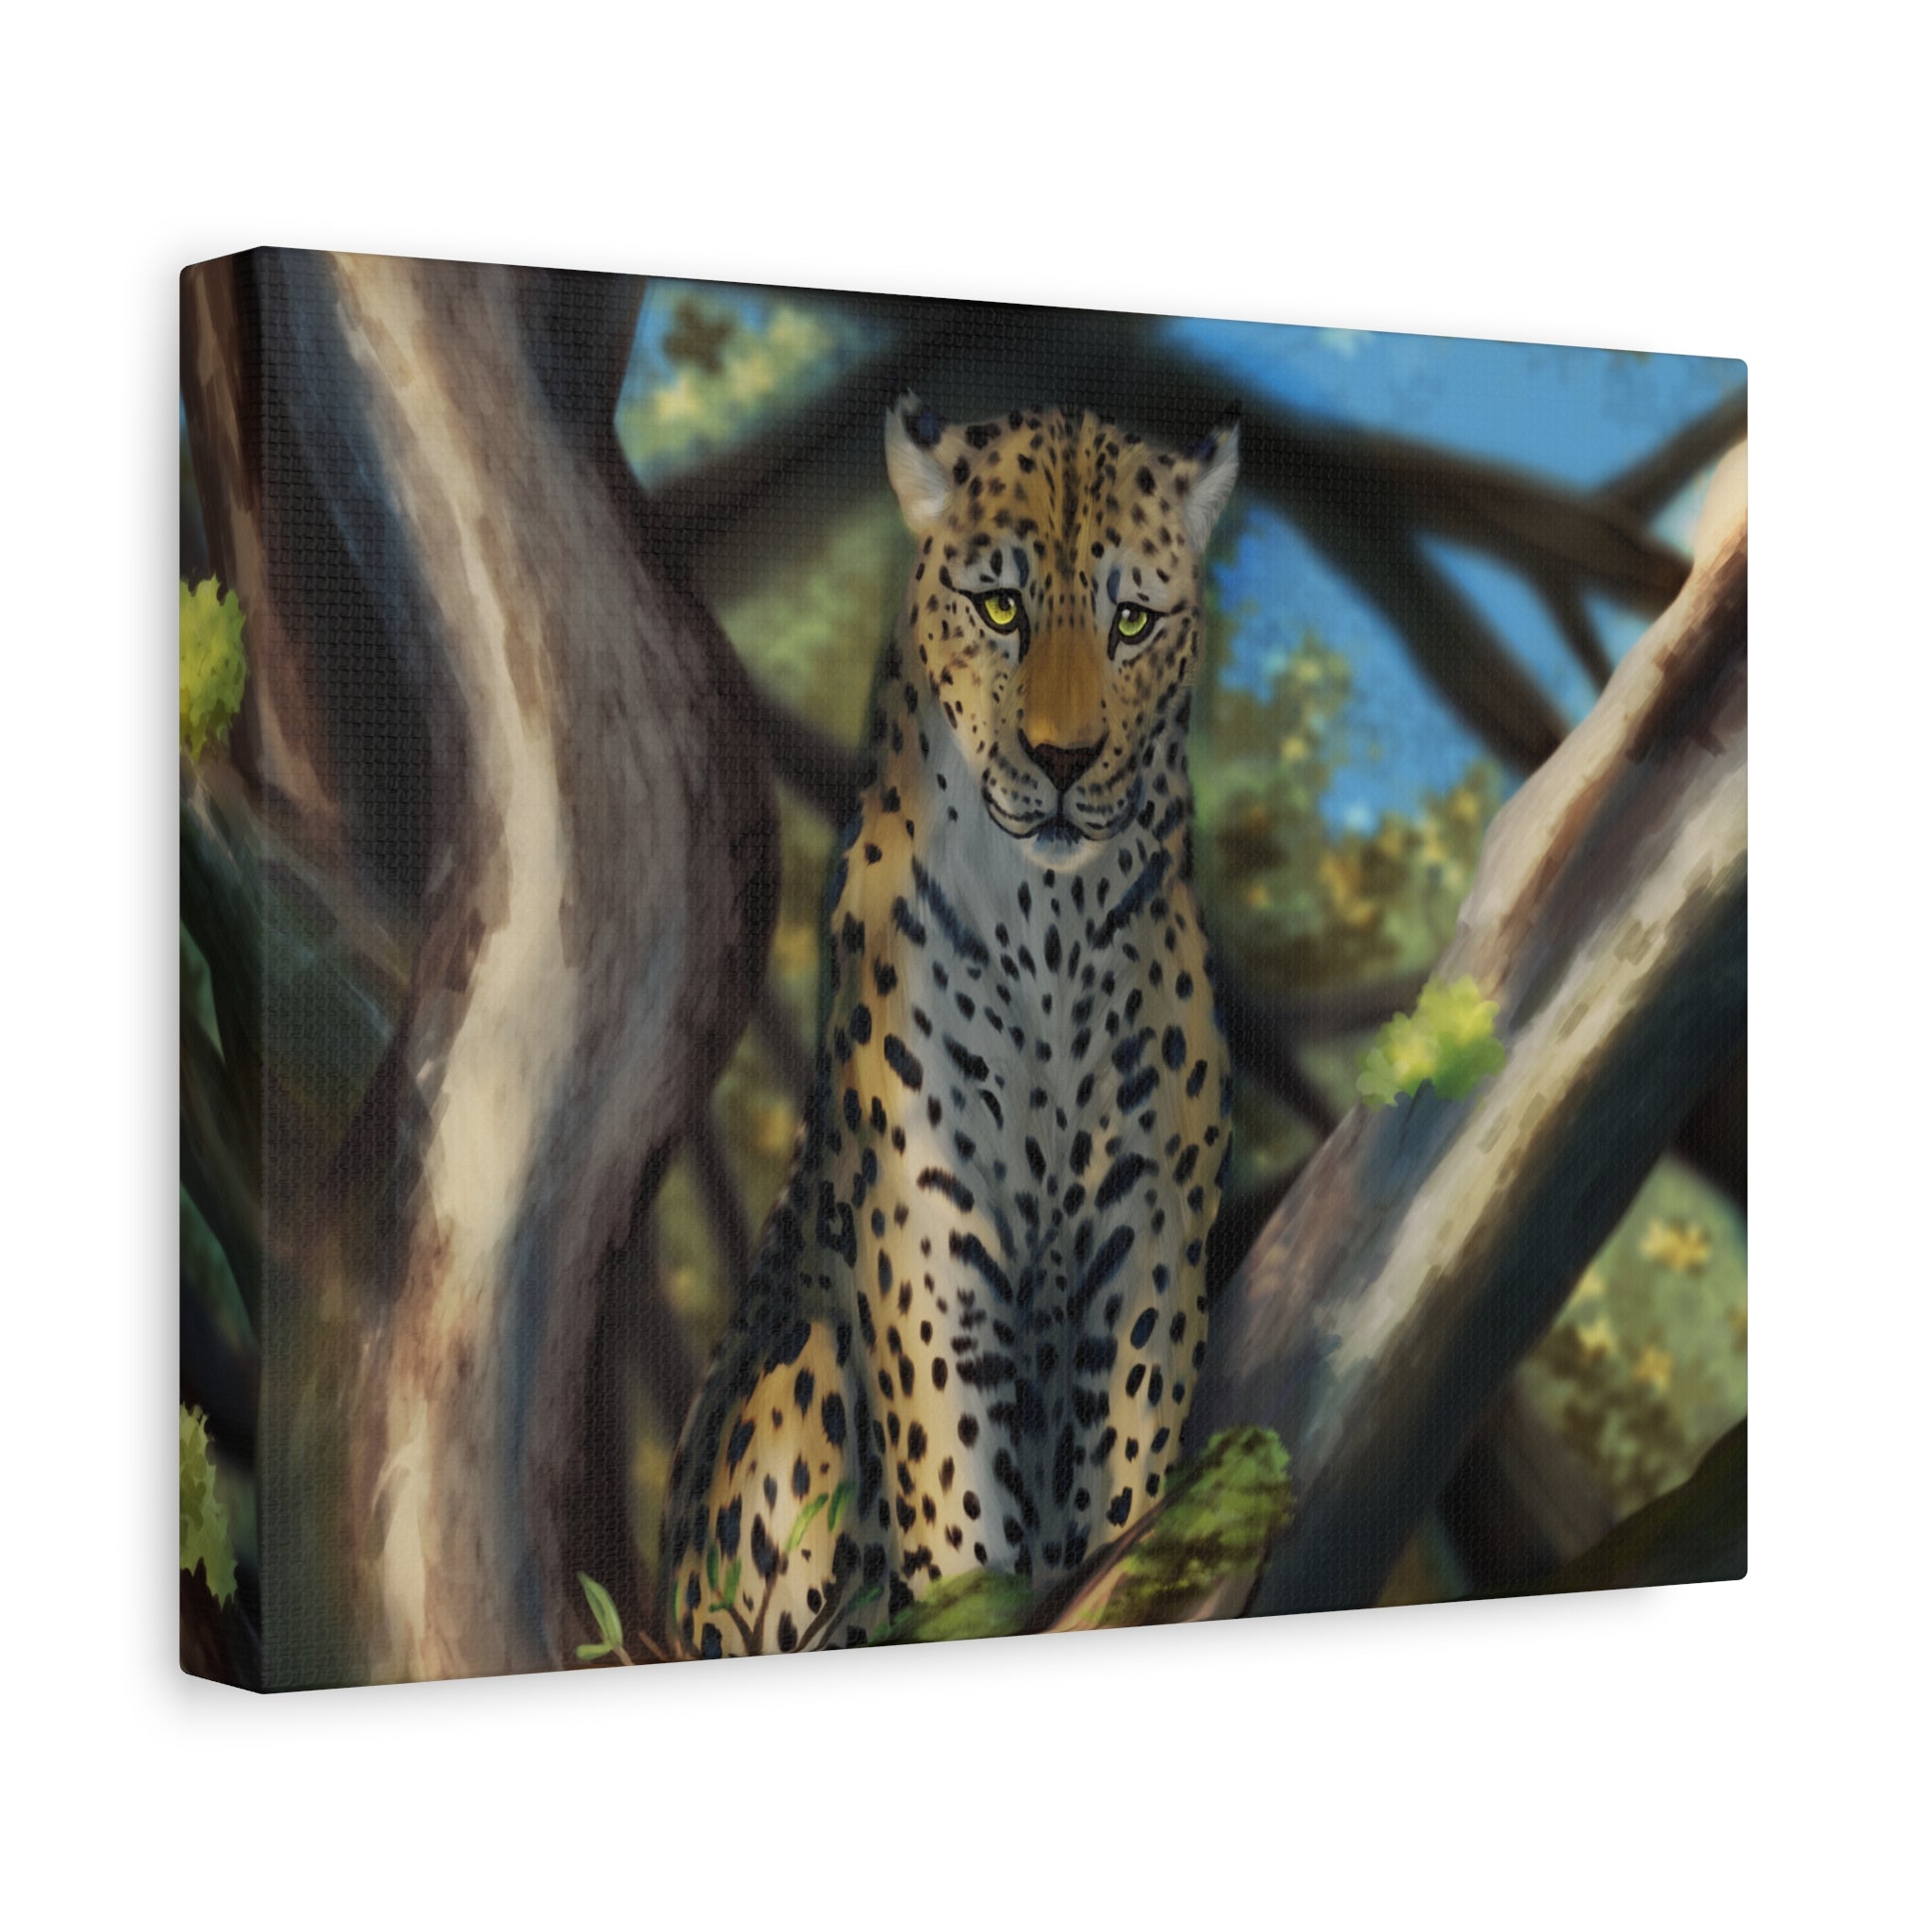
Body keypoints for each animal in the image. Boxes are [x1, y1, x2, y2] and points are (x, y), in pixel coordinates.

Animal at [663, 393, 1240, 1657]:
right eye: (1000, 607)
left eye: (1131, 620)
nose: (1065, 760)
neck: (1049, 926)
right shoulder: (928, 1220)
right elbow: (956, 1483)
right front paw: (980, 1592)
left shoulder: (1148, 1221)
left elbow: (1125, 1460)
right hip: (794, 1383)